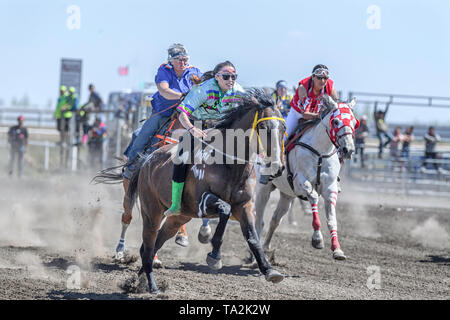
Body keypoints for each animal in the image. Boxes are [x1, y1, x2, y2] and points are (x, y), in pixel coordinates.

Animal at [125, 89, 286, 294]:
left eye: (283, 128)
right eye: (264, 126)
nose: (277, 167)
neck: (229, 164)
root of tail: (146, 160)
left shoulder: (245, 206)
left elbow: (252, 237)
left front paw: (268, 270)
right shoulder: (202, 202)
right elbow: (225, 210)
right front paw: (214, 256)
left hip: (178, 218)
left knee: (153, 245)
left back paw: (138, 282)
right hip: (152, 212)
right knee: (148, 246)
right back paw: (153, 287)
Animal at [255, 95, 360, 260]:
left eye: (355, 122)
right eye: (336, 121)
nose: (348, 150)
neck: (320, 152)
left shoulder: (330, 189)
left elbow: (332, 220)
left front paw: (337, 249)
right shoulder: (301, 182)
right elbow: (314, 198)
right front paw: (317, 239)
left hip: (286, 195)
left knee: (275, 220)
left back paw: (265, 247)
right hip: (263, 190)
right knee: (259, 220)